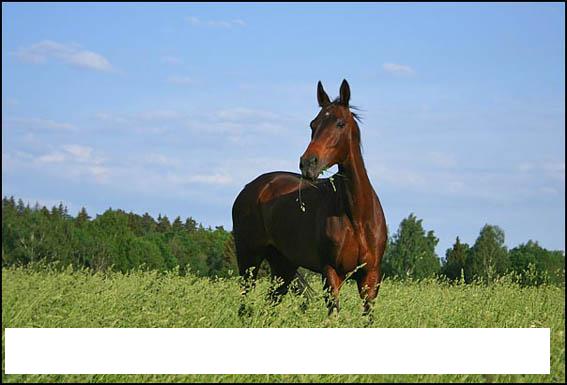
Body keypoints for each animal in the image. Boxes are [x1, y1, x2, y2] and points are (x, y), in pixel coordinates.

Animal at [231, 79, 386, 316]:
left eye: (340, 123)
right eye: (313, 124)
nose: (308, 163)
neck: (358, 217)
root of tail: (251, 188)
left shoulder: (371, 277)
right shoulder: (331, 273)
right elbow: (333, 315)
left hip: (283, 266)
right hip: (249, 258)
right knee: (244, 300)